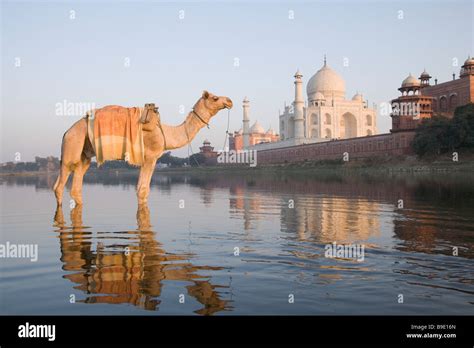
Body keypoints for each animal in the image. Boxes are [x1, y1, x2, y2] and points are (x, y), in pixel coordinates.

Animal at [53, 90, 233, 207]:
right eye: (215, 98)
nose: (229, 101)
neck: (166, 132)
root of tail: (66, 132)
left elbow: (141, 189)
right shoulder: (150, 157)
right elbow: (143, 190)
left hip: (84, 155)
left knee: (76, 186)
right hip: (72, 146)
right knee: (60, 185)